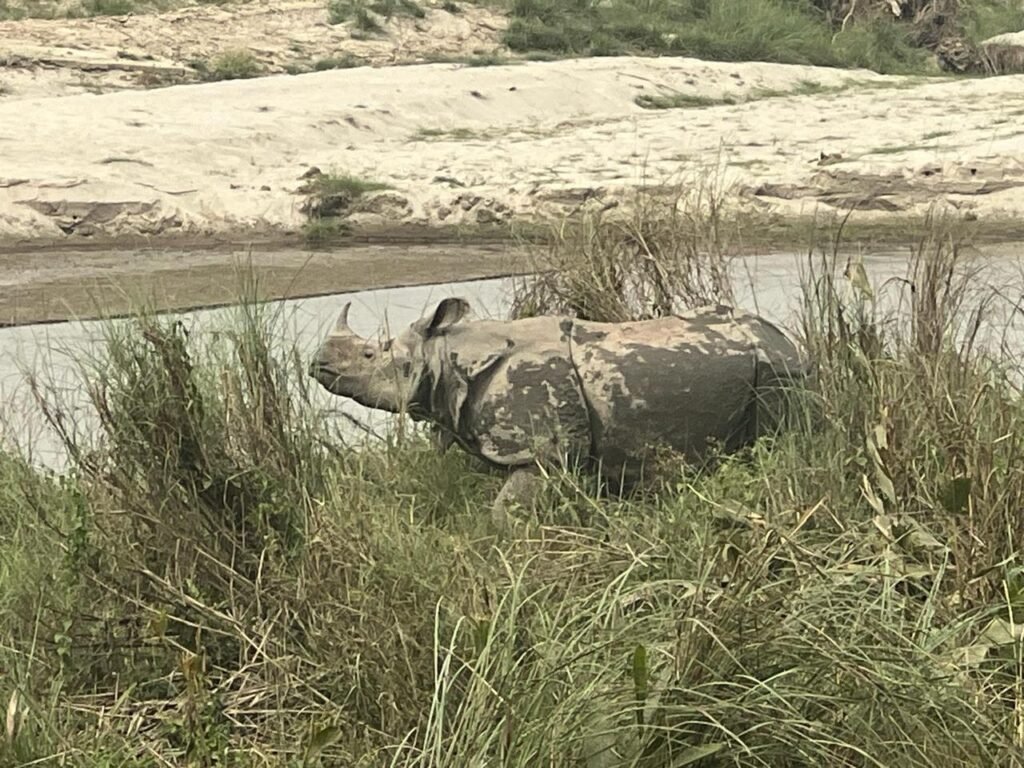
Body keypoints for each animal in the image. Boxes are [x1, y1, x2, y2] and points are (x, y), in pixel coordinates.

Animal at [309, 297, 809, 517]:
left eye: (370, 355)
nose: (317, 364)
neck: (446, 355)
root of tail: (791, 342)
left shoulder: (543, 453)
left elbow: (505, 513)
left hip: (779, 371)